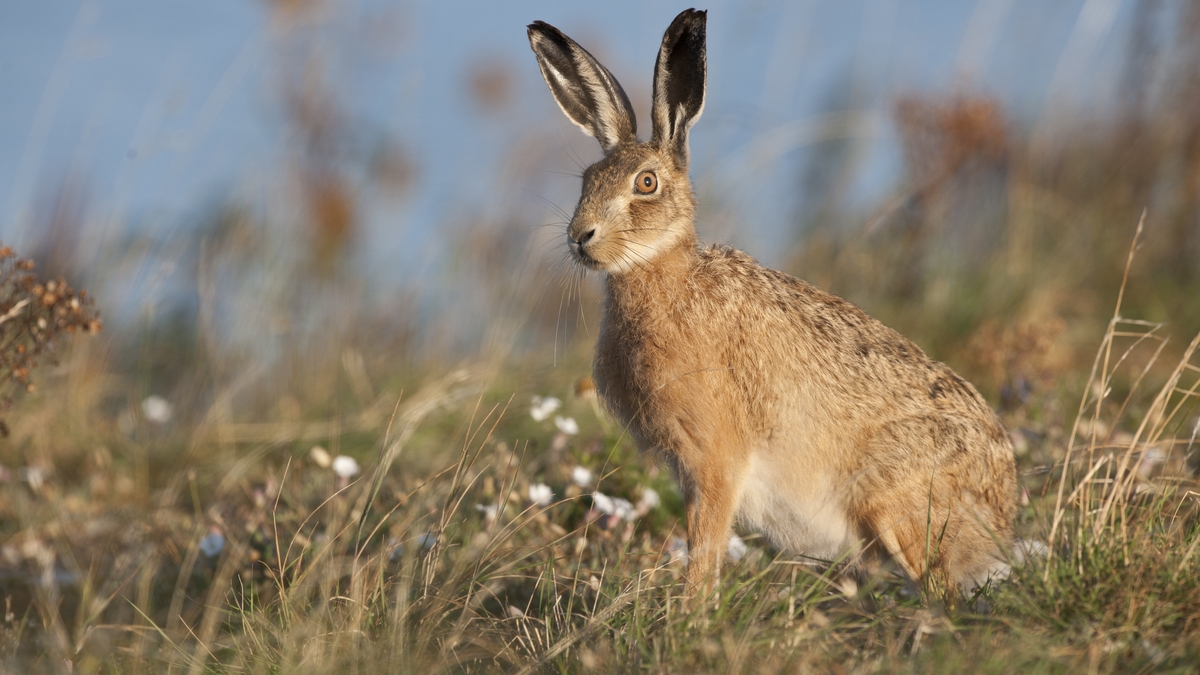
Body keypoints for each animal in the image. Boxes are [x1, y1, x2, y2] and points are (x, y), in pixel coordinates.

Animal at [527, 8, 1017, 597]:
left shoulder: (716, 459)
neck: (663, 274)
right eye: (586, 180)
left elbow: (704, 550)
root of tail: (1001, 511)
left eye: (646, 183)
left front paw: (692, 610)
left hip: (897, 500)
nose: (581, 236)